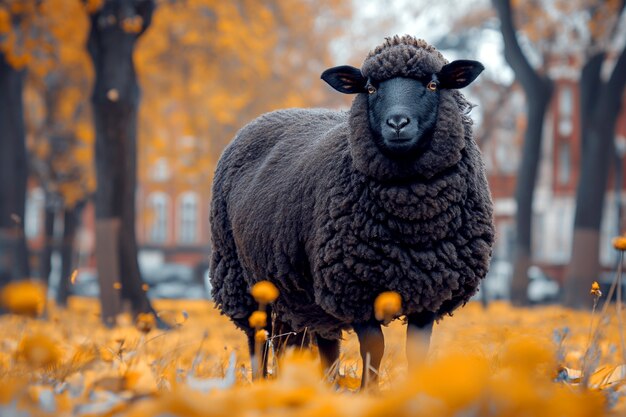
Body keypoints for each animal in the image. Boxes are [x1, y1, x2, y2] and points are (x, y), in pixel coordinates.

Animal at [208, 35, 492, 384]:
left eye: (433, 83)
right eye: (369, 88)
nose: (397, 123)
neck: (413, 222)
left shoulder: (429, 290)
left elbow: (416, 352)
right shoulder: (353, 287)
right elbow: (374, 349)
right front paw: (368, 391)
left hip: (297, 289)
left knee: (302, 343)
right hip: (241, 277)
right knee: (259, 338)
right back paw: (261, 385)